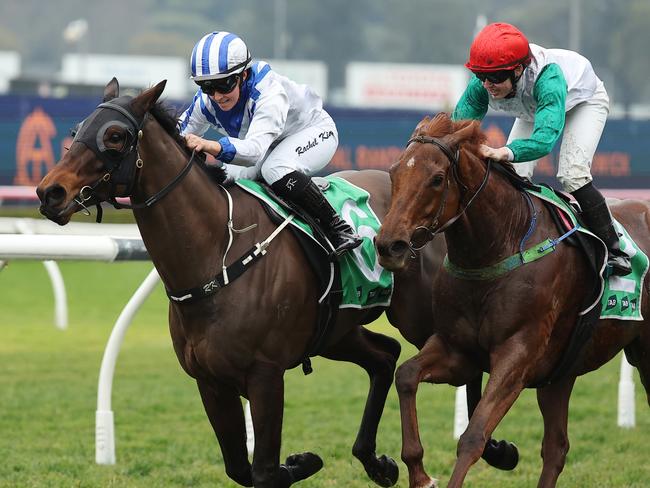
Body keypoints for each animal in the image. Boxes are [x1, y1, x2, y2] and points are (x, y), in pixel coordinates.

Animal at [38, 80, 512, 488]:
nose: (49, 193)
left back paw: (494, 448)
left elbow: (263, 469)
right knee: (384, 356)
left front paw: (298, 462)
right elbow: (239, 467)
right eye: (77, 130)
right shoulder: (209, 381)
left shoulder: (265, 376)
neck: (216, 255)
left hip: (423, 319)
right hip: (334, 330)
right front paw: (302, 462)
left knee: (464, 362)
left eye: (116, 136)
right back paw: (377, 461)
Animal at [372, 111, 648, 488]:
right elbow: (406, 375)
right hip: (562, 372)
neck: (497, 246)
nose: (390, 245)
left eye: (437, 178)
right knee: (556, 448)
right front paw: (419, 472)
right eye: (393, 172)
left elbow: (473, 435)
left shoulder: (517, 355)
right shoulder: (458, 350)